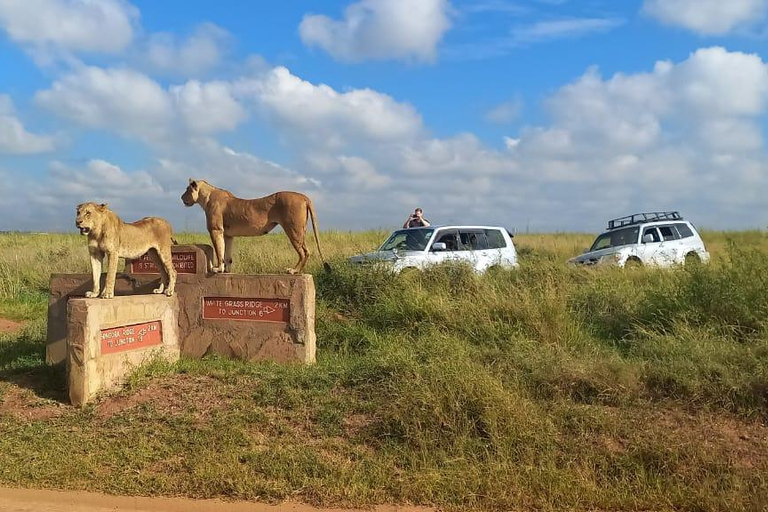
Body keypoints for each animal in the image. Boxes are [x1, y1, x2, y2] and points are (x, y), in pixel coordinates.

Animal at [184, 180, 332, 276]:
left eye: (186, 190)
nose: (181, 197)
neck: (205, 198)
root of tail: (303, 196)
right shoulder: (228, 234)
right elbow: (227, 254)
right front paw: (226, 270)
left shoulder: (216, 230)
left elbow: (220, 251)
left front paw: (217, 269)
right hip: (301, 231)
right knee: (305, 250)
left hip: (293, 230)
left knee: (304, 252)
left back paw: (293, 271)